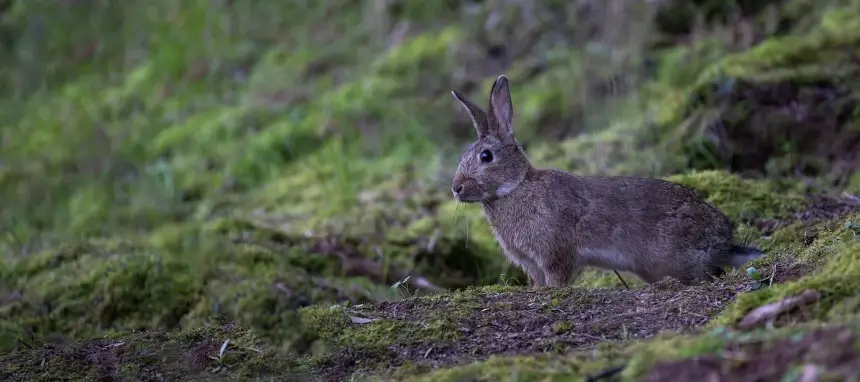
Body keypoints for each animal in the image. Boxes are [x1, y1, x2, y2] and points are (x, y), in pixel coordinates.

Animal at [446, 75, 764, 286]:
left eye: (486, 156)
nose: (456, 188)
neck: (516, 187)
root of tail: (723, 242)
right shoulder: (530, 263)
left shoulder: (555, 253)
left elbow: (557, 280)